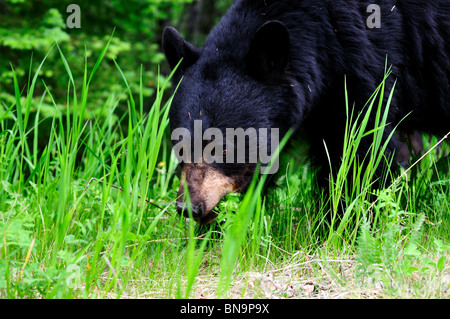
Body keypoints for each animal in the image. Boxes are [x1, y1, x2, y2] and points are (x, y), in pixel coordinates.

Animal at [163, 0, 450, 225]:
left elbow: (360, 151)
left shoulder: (366, 66)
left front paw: (345, 224)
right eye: (180, 147)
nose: (189, 208)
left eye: (224, 149)